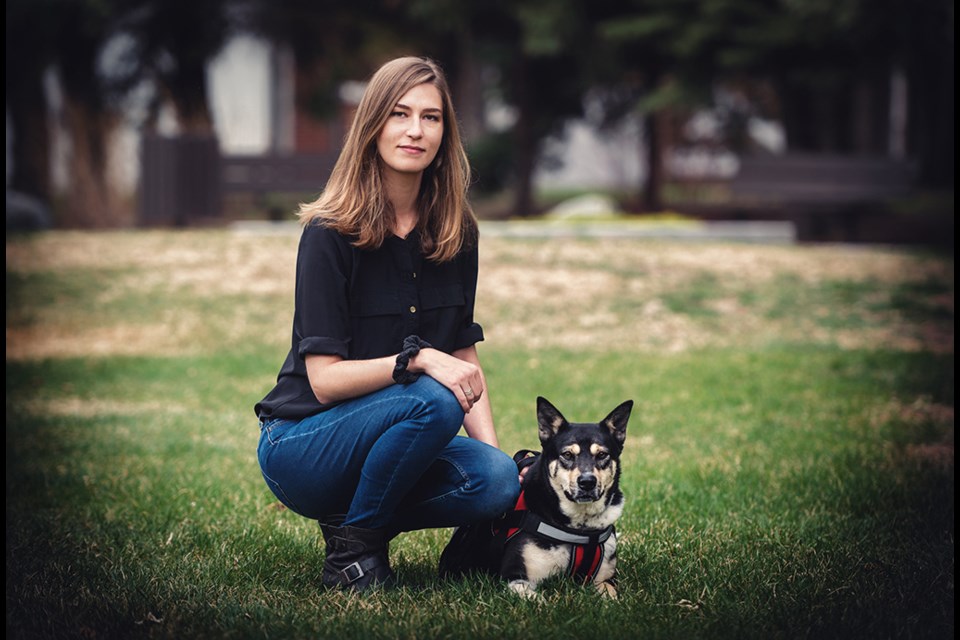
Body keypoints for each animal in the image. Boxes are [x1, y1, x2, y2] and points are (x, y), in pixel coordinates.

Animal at [438, 398, 632, 596]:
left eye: (602, 454)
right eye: (567, 454)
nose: (587, 482)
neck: (580, 528)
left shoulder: (604, 580)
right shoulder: (517, 578)